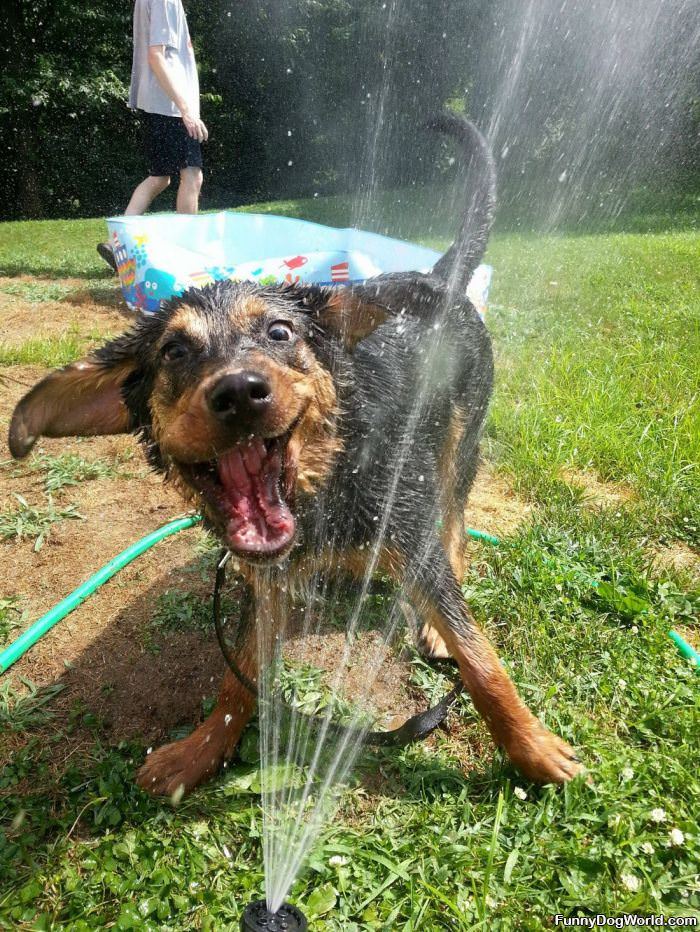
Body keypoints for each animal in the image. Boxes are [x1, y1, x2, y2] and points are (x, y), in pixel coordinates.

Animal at [9, 114, 584, 792]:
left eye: (280, 332)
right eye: (174, 352)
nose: (239, 391)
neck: (329, 471)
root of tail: (437, 277)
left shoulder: (407, 533)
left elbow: (481, 658)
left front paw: (533, 749)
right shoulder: (266, 581)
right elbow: (239, 677)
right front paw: (201, 749)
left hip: (458, 439)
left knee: (456, 520)